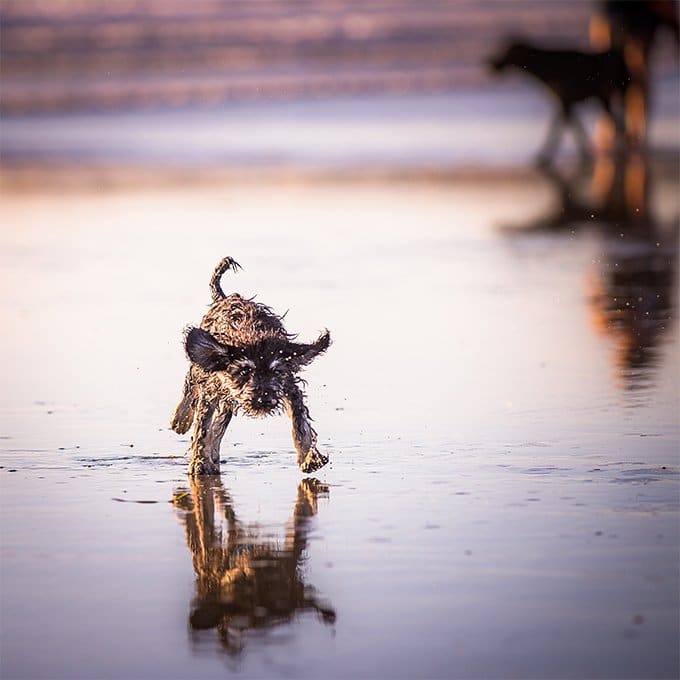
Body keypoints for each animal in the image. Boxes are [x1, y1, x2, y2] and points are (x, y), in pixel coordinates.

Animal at [169, 258, 330, 476]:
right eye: (245, 371)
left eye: (276, 372)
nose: (263, 400)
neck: (252, 333)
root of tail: (225, 298)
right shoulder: (212, 387)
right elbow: (202, 427)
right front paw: (199, 461)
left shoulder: (288, 385)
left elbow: (300, 423)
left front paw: (309, 456)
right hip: (203, 372)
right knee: (191, 391)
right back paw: (181, 420)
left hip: (228, 399)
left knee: (220, 424)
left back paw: (214, 455)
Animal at [488, 40, 632, 162]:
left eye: (507, 52)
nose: (493, 64)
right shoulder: (565, 103)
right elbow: (570, 126)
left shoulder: (565, 102)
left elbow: (560, 127)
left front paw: (545, 154)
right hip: (604, 98)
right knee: (617, 121)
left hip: (609, 95)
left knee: (618, 121)